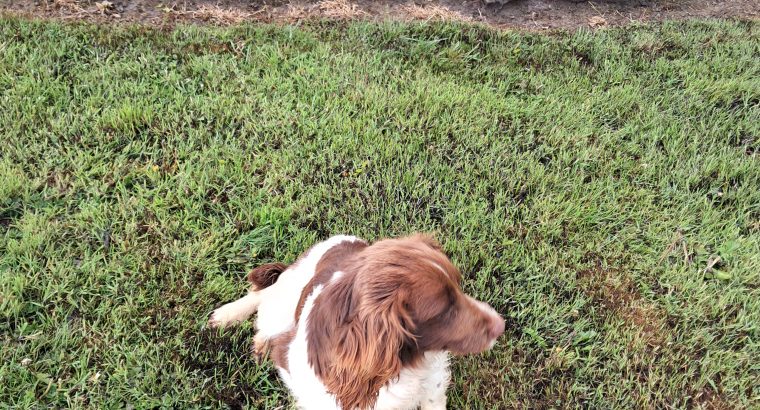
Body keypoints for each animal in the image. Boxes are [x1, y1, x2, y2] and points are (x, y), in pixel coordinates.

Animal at [208, 235, 504, 408]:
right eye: (445, 310)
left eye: (459, 287)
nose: (501, 324)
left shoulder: (433, 382)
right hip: (282, 304)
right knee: (264, 298)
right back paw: (233, 319)